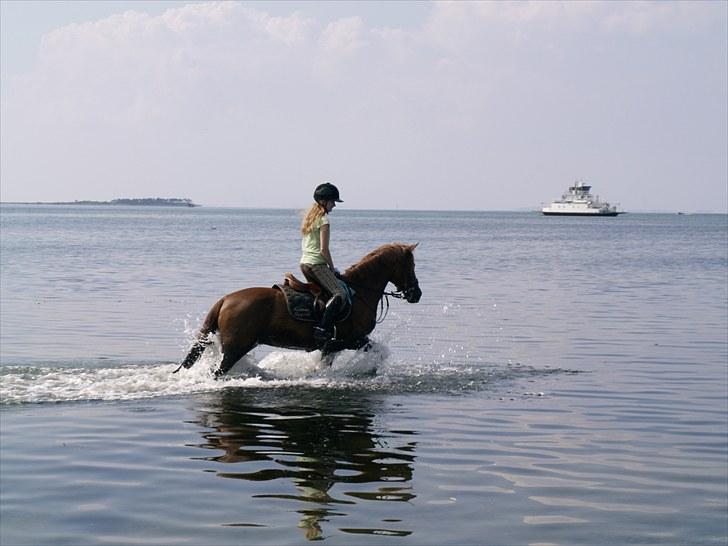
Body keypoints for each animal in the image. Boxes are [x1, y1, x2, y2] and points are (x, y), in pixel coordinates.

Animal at [175, 242, 420, 374]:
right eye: (411, 265)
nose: (416, 294)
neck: (360, 291)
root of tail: (225, 299)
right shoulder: (349, 340)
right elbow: (377, 351)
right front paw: (370, 368)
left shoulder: (331, 347)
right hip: (236, 347)